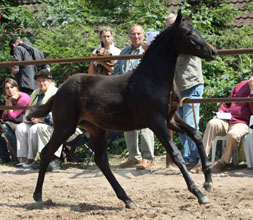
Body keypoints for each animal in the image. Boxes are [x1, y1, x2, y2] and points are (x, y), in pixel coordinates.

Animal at [29, 11, 215, 208]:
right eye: (188, 33)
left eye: (197, 30)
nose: (212, 51)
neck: (153, 79)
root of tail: (59, 92)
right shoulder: (156, 122)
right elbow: (176, 154)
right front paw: (199, 193)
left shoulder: (170, 119)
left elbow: (195, 134)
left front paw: (208, 181)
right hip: (65, 127)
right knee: (46, 152)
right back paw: (38, 195)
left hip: (95, 129)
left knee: (101, 161)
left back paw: (127, 199)